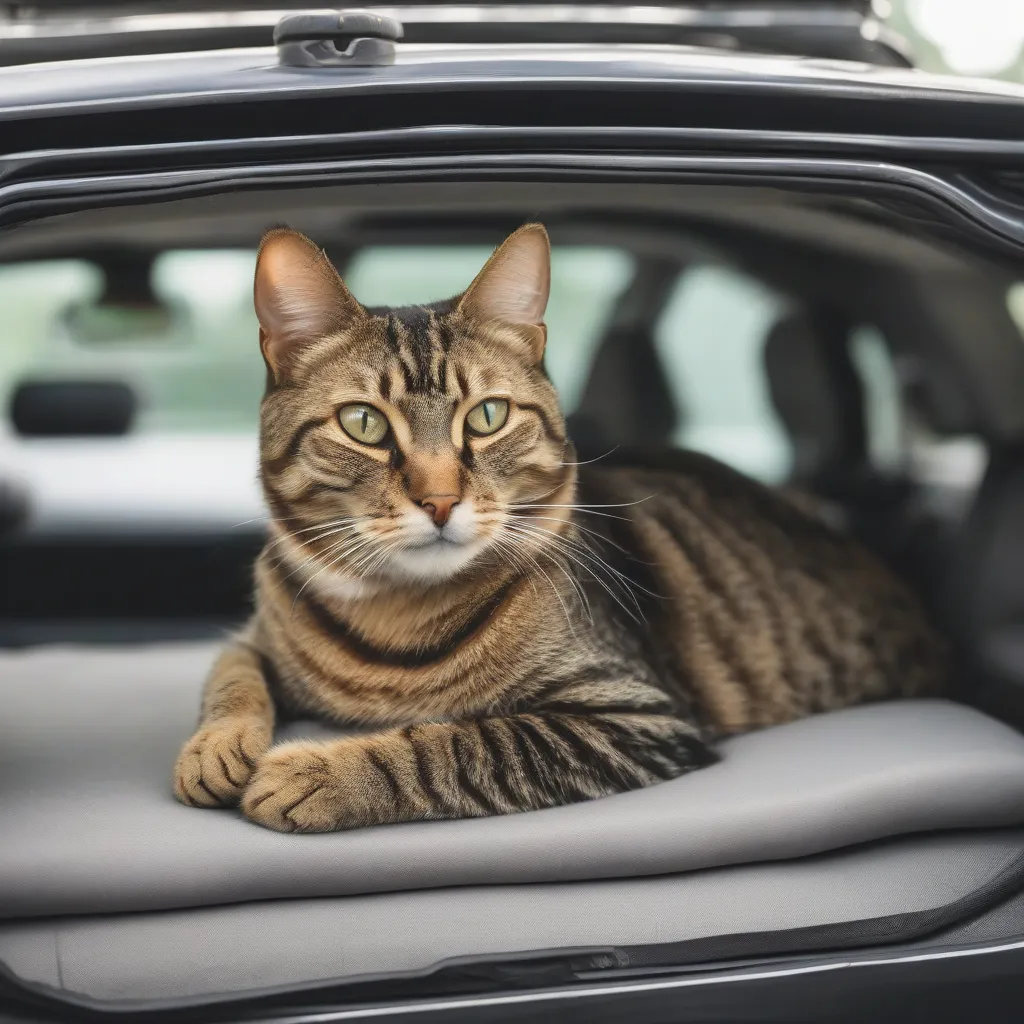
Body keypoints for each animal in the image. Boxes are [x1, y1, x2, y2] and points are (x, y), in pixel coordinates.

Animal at [172, 224, 946, 831]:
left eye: (487, 416)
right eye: (363, 424)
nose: (440, 500)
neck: (395, 619)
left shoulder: (633, 716)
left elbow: (458, 744)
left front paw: (318, 775)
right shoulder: (253, 634)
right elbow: (231, 675)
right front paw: (214, 749)